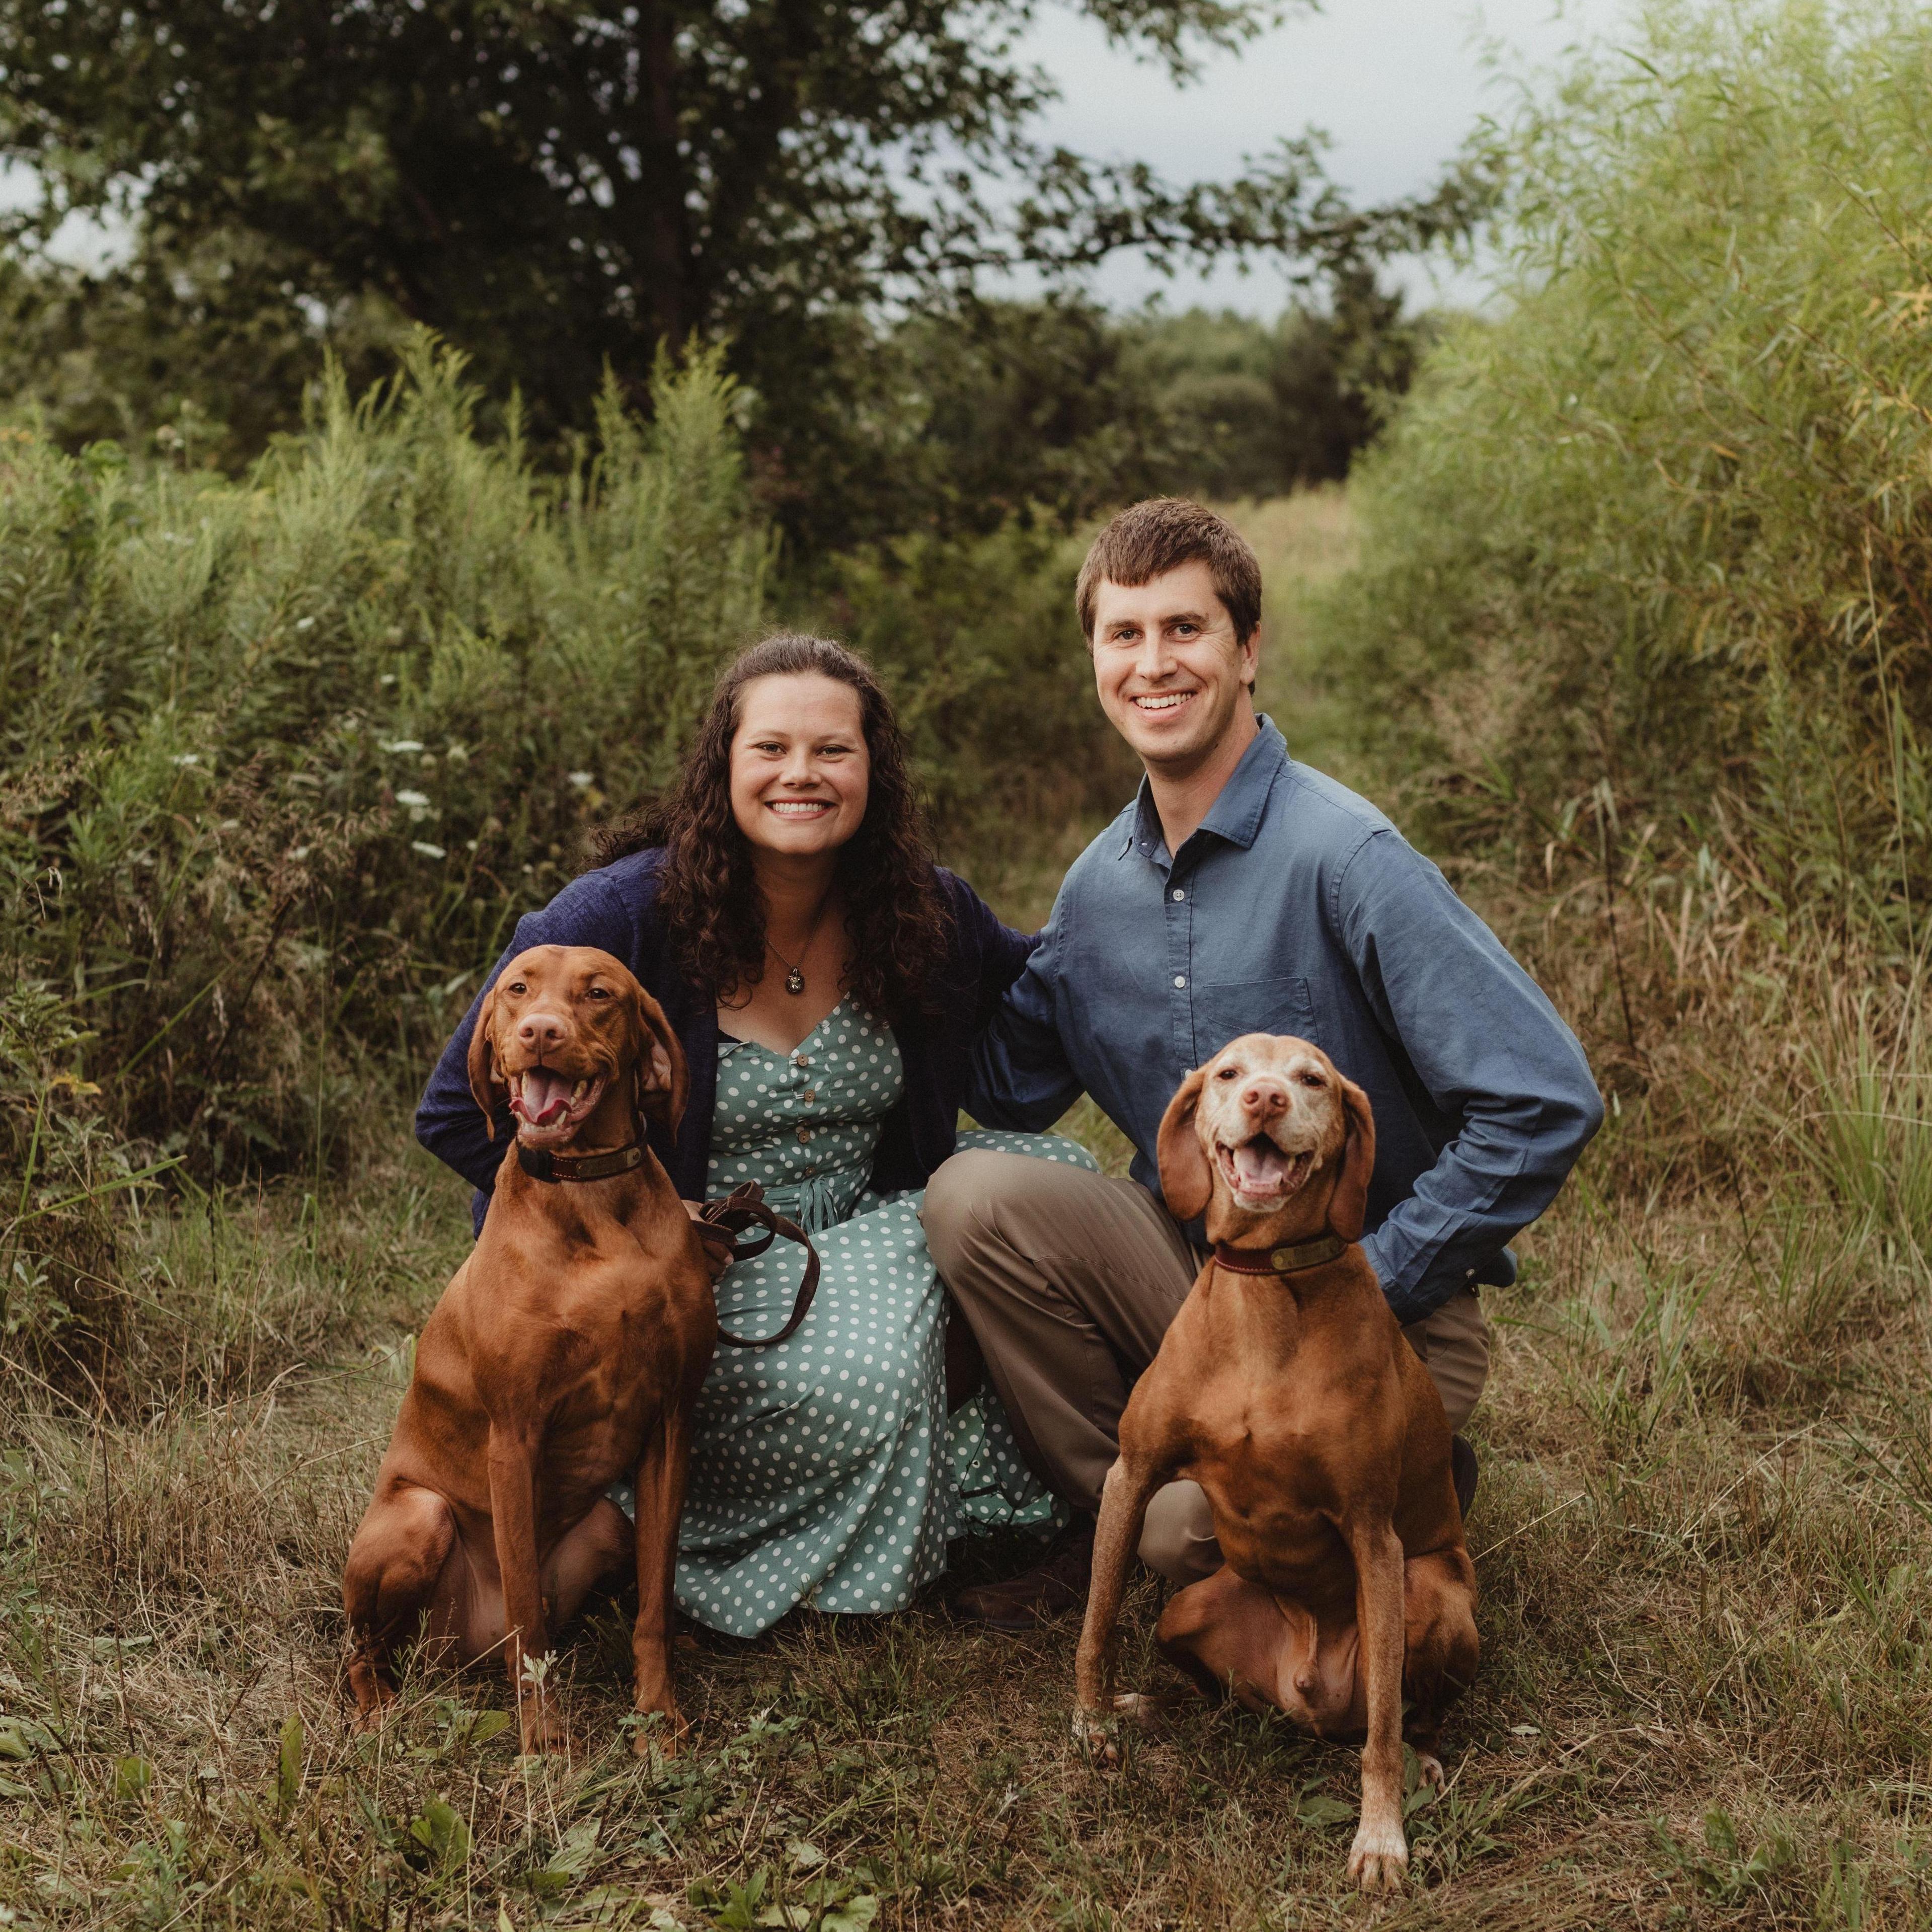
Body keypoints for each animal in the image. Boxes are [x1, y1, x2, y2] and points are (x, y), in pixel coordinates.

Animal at [342, 945, 717, 1755]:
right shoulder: (513, 1436)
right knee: (364, 1647)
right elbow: (528, 1623)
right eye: (517, 988)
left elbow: (655, 1600)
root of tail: (460, 1652)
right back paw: (377, 1711)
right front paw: (543, 1743)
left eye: (599, 993)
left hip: (607, 1523)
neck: (590, 1201)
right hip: (418, 1518)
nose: (541, 1031)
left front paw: (656, 1715)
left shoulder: (672, 1420)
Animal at [1072, 1033, 1478, 1892]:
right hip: (1185, 1608)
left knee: (1402, 1714)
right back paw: (1162, 1705)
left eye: (1311, 1078)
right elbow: (1094, 1619)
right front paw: (1090, 1722)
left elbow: (1383, 1731)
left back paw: (1424, 1759)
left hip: (1427, 1593)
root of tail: (1308, 1690)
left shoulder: (1372, 1533)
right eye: (1228, 1073)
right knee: (1221, 1690)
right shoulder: (1131, 1472)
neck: (1265, 1287)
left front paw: (1380, 1837)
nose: (1264, 1098)